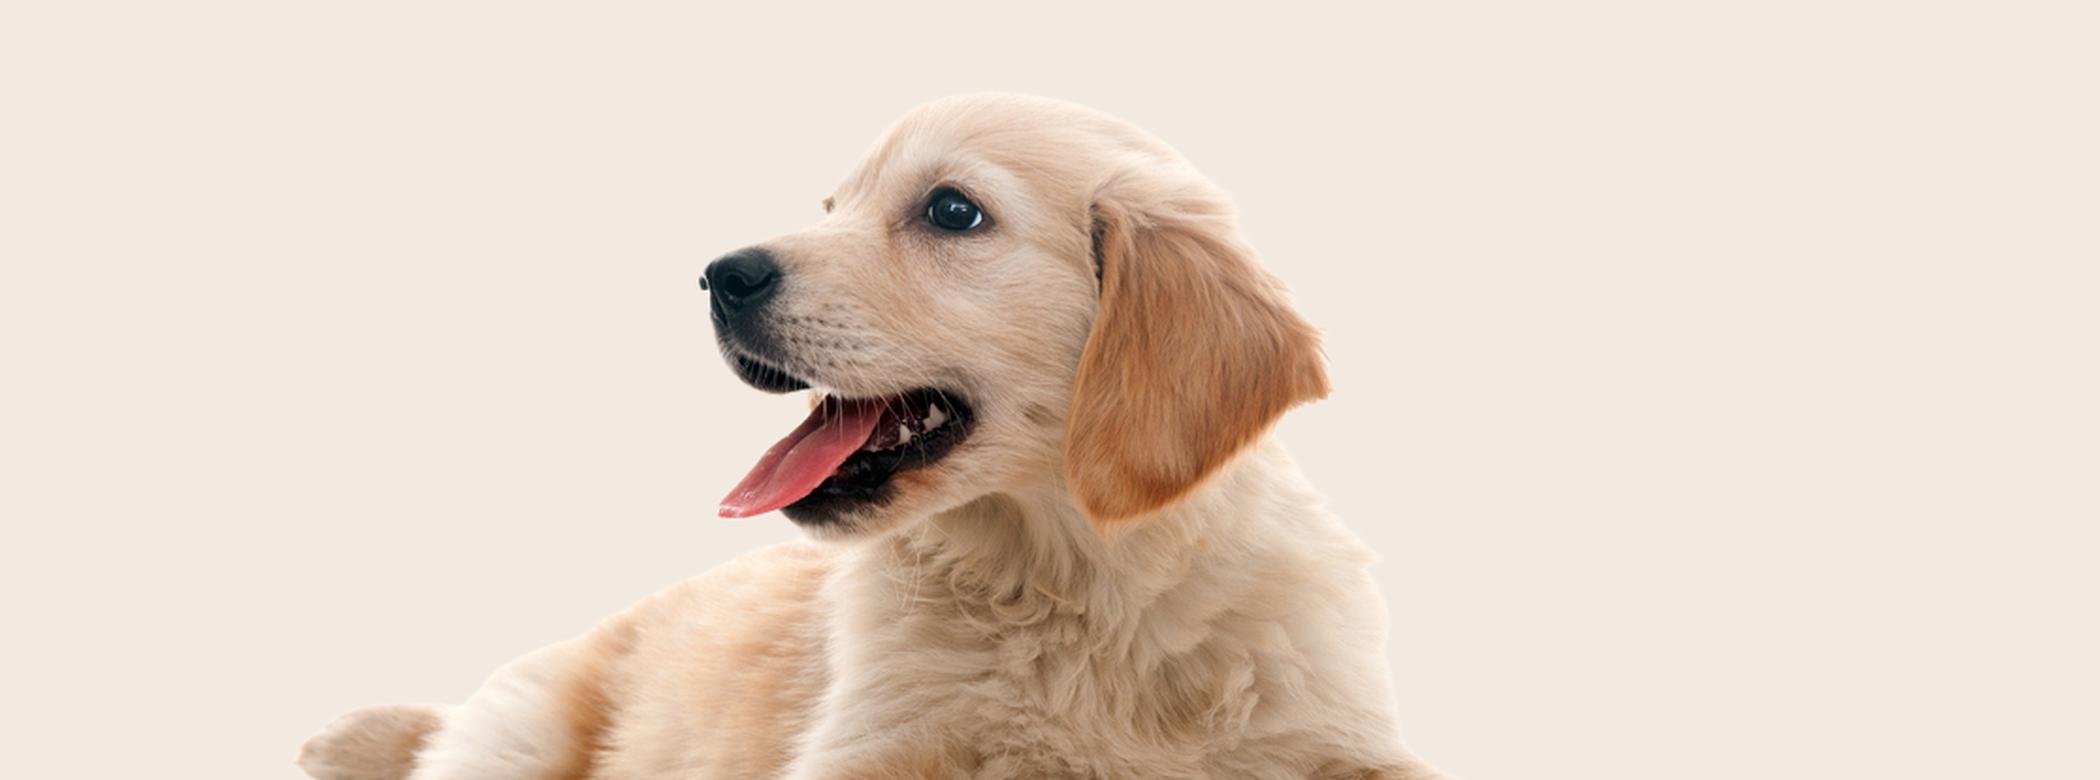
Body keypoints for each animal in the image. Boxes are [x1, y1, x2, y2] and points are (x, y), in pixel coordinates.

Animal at [300, 93, 1444, 780]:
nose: (717, 275)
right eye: (832, 205)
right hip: (515, 736)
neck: (1086, 590)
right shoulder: (868, 747)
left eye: (952, 210)